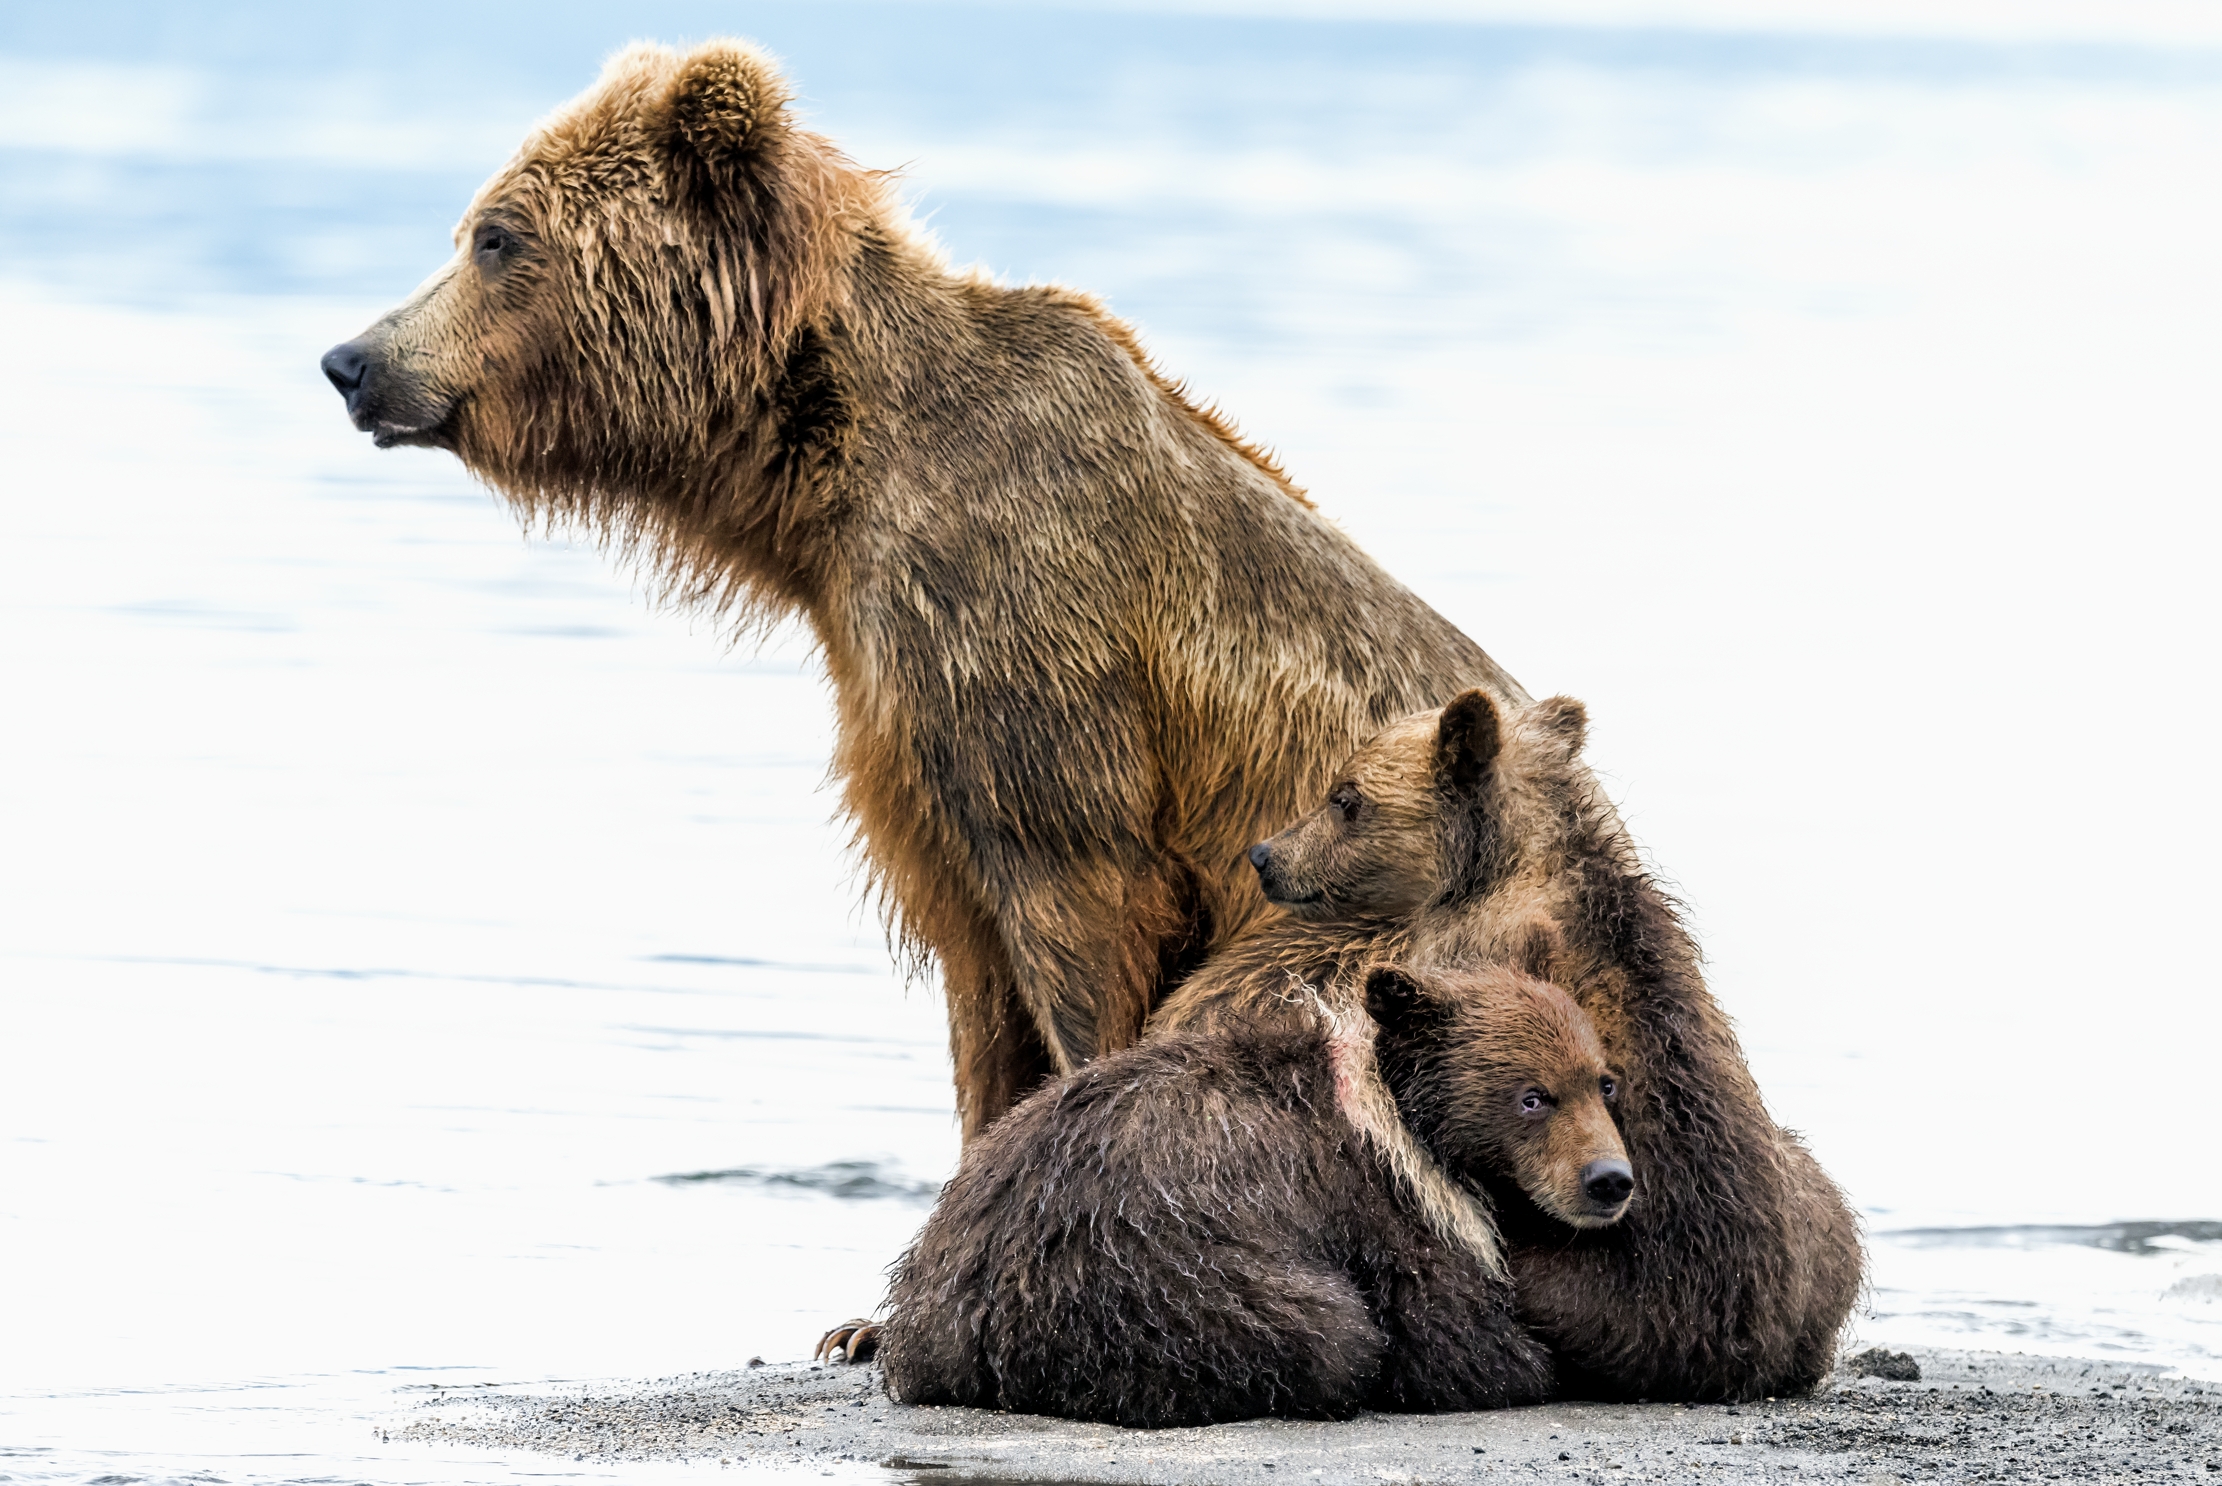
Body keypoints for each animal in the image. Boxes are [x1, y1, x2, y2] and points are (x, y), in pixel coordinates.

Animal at [318, 38, 1534, 1138]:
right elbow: (980, 993)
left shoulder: (1027, 646)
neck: (828, 479)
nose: (351, 360)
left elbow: (1080, 919)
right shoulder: (907, 740)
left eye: (496, 235)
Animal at [871, 961, 1628, 1428]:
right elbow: (1457, 1344)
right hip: (1161, 1268)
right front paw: (1537, 1360)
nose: (1609, 1180)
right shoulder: (1372, 1207)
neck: (1404, 1121)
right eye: (1533, 1095)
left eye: (1603, 1081)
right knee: (1330, 1335)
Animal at [1149, 689, 1865, 1402]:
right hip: (1807, 1213)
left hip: (1602, 1270)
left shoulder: (1461, 952)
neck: (1500, 864)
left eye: (1344, 797)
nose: (1265, 855)